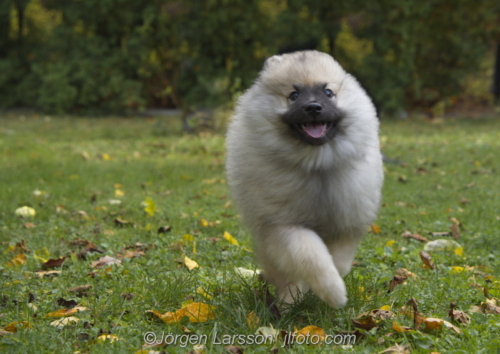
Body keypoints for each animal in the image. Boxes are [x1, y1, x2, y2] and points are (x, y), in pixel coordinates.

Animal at [227, 51, 382, 308]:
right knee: (282, 274)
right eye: (294, 95)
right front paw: (333, 292)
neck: (316, 166)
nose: (313, 107)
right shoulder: (283, 226)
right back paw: (288, 301)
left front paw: (330, 288)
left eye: (328, 92)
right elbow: (310, 255)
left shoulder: (346, 225)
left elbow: (339, 261)